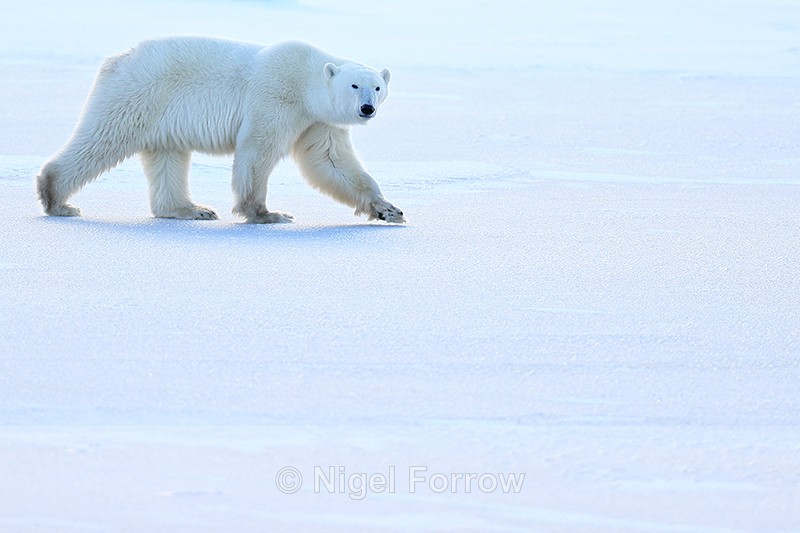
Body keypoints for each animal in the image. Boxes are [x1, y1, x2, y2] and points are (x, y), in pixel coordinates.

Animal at [36, 37, 405, 224]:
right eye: (354, 85)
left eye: (377, 87)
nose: (367, 108)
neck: (306, 81)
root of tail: (118, 59)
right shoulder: (276, 96)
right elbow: (258, 151)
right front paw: (268, 213)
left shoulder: (317, 121)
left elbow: (330, 162)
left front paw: (388, 208)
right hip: (140, 94)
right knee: (103, 139)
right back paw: (58, 200)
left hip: (163, 115)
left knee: (167, 157)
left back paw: (192, 209)